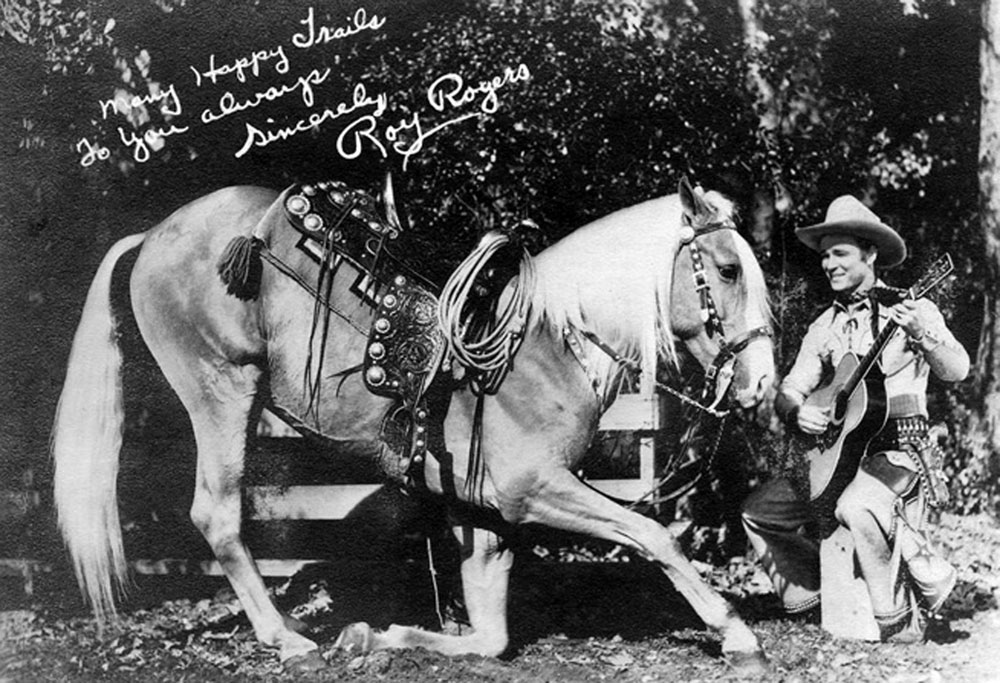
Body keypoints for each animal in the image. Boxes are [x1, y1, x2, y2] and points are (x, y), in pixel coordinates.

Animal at [52, 176, 772, 672]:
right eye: (728, 268)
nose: (763, 382)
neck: (548, 342)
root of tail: (153, 235)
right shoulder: (536, 488)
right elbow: (654, 535)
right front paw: (736, 633)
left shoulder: (487, 513)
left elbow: (490, 635)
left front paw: (383, 633)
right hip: (223, 389)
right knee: (217, 515)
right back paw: (286, 637)